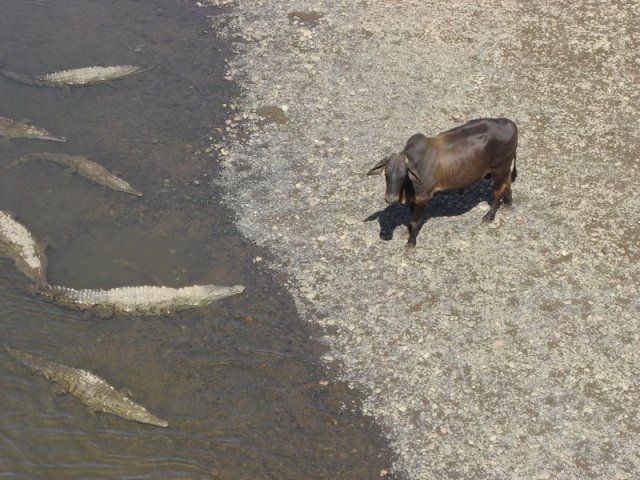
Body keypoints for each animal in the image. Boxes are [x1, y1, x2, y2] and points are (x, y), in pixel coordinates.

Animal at [368, 117, 516, 248]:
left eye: (403, 174)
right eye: (386, 172)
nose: (390, 198)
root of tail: (510, 124)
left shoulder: (424, 197)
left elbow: (415, 221)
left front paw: (411, 242)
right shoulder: (413, 199)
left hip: (499, 169)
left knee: (498, 191)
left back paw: (489, 216)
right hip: (504, 169)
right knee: (508, 181)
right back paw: (508, 202)